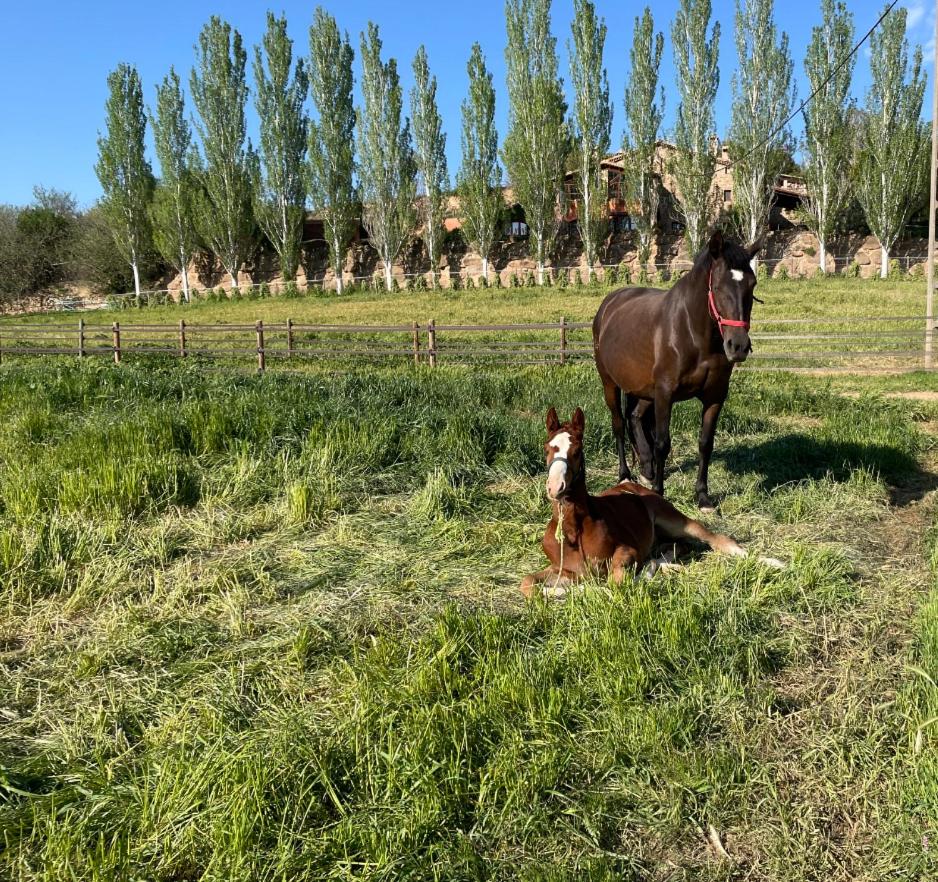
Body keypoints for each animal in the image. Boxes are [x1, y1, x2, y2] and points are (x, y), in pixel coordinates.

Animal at [520, 406, 760, 599]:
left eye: (577, 451)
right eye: (546, 448)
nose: (555, 487)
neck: (572, 530)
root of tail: (637, 487)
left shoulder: (627, 551)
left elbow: (613, 584)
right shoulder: (563, 569)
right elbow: (528, 583)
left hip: (675, 520)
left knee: (716, 539)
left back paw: (759, 560)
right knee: (679, 545)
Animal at [592, 230, 761, 511]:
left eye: (752, 285)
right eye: (717, 286)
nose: (737, 346)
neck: (692, 333)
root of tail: (609, 304)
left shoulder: (715, 396)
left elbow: (705, 443)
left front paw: (703, 497)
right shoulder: (665, 393)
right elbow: (662, 443)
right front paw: (659, 494)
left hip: (643, 389)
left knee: (635, 417)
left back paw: (646, 470)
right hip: (610, 384)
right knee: (618, 424)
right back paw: (625, 475)